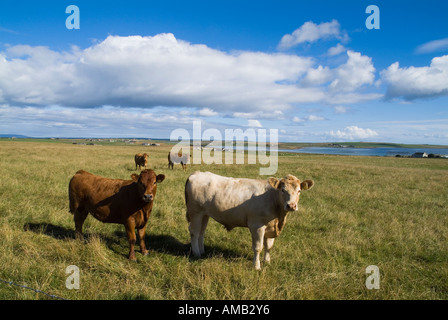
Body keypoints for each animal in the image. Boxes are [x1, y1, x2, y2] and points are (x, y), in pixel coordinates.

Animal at [186, 171, 316, 268]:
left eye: (299, 191)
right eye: (283, 190)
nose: (291, 206)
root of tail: (196, 173)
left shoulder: (270, 227)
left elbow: (269, 246)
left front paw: (267, 262)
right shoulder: (257, 226)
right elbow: (258, 247)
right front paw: (257, 266)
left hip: (205, 214)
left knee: (201, 232)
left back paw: (202, 251)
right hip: (195, 212)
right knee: (194, 232)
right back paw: (197, 253)